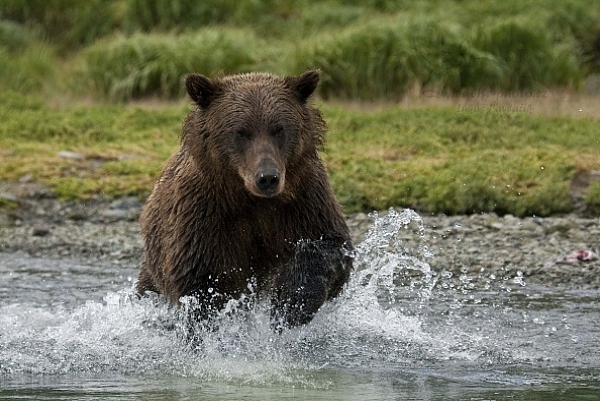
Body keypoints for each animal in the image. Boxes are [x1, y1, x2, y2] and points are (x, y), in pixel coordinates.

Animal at [136, 70, 352, 330]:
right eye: (241, 132)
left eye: (279, 130)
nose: (267, 178)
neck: (251, 199)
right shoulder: (203, 214)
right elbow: (201, 278)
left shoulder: (305, 200)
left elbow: (328, 245)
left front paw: (290, 304)